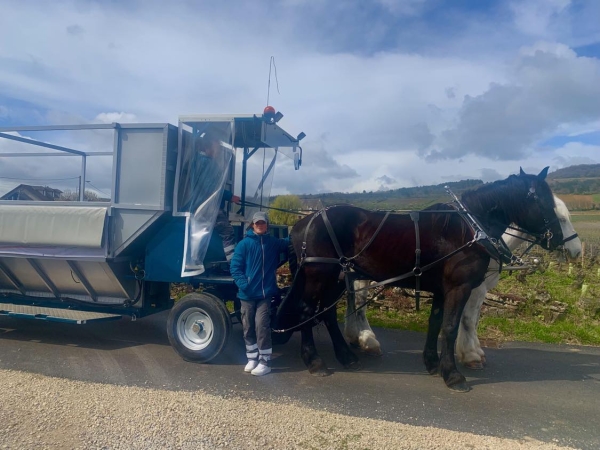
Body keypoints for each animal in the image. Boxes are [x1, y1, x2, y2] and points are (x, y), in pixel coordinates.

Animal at [274, 167, 564, 392]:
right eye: (545, 203)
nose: (559, 240)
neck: (468, 229)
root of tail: (302, 224)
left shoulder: (441, 290)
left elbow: (435, 325)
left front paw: (433, 364)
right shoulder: (459, 288)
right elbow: (450, 328)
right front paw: (453, 376)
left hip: (335, 278)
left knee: (326, 314)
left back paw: (346, 357)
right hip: (318, 275)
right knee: (306, 312)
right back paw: (315, 361)